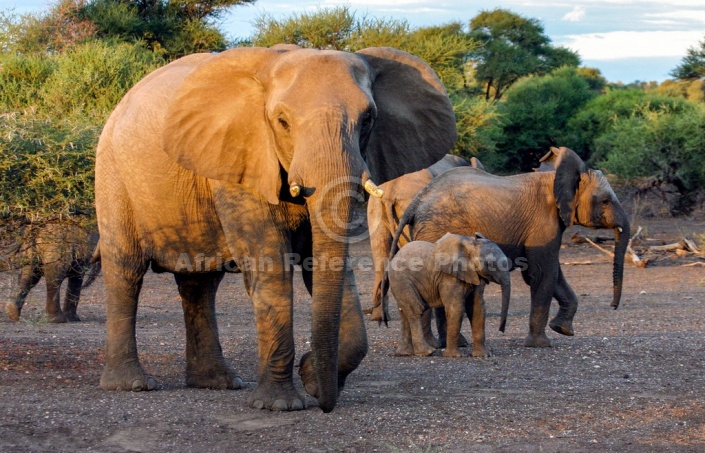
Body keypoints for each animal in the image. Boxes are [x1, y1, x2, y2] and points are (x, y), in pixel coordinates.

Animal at [93, 44, 456, 412]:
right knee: (126, 270)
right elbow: (271, 267)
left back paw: (218, 382)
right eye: (282, 122)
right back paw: (131, 384)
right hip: (112, 174)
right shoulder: (243, 158)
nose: (325, 404)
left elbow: (327, 265)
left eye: (368, 119)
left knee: (200, 283)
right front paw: (280, 404)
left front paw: (312, 377)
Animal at [384, 233, 512, 356]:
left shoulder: (475, 275)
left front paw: (482, 355)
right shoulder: (449, 277)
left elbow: (477, 308)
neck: (470, 245)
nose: (501, 330)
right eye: (490, 264)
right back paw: (427, 352)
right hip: (402, 280)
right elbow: (456, 309)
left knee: (404, 312)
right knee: (415, 310)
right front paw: (453, 356)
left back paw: (405, 353)